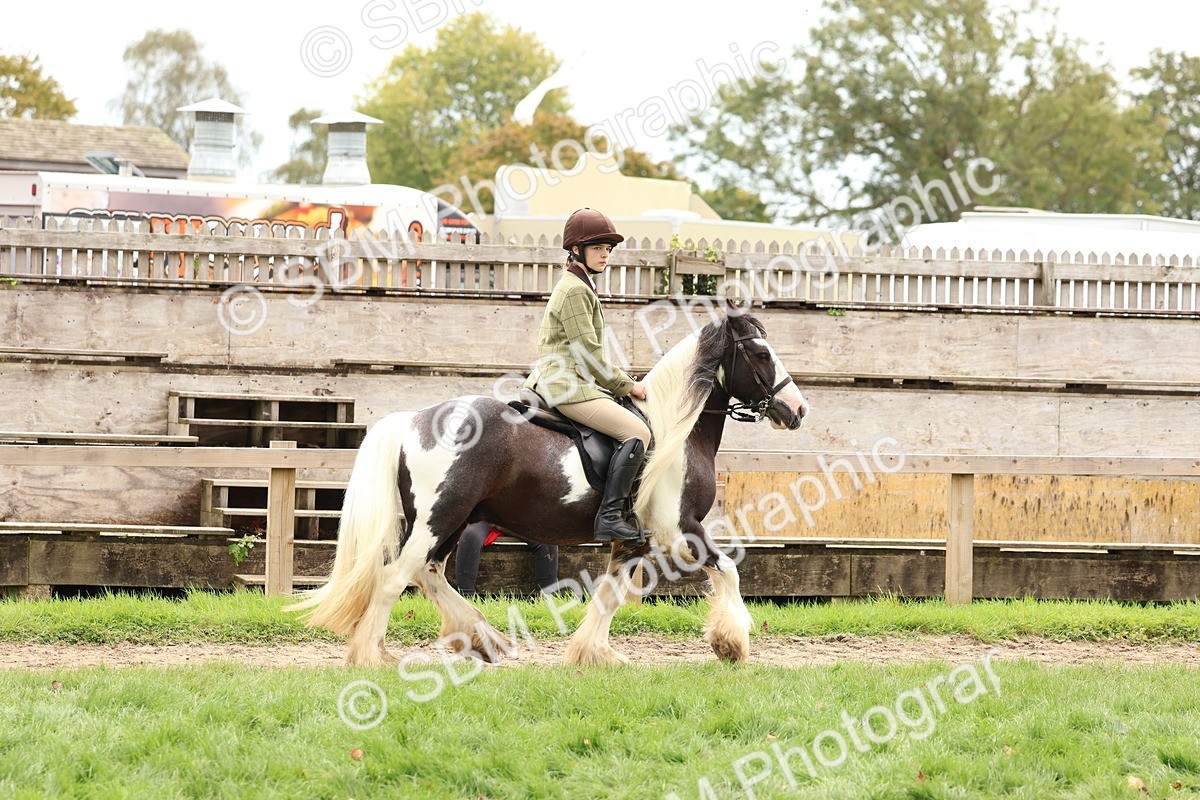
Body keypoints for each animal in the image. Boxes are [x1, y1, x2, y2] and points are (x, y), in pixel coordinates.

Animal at [288, 305, 809, 666]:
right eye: (761, 354)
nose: (798, 410)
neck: (674, 431)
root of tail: (412, 419)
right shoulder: (681, 529)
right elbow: (730, 571)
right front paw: (731, 644)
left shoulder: (635, 540)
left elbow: (610, 594)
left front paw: (595, 654)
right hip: (440, 518)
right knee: (396, 578)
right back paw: (372, 657)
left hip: (448, 521)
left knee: (428, 573)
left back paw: (482, 638)